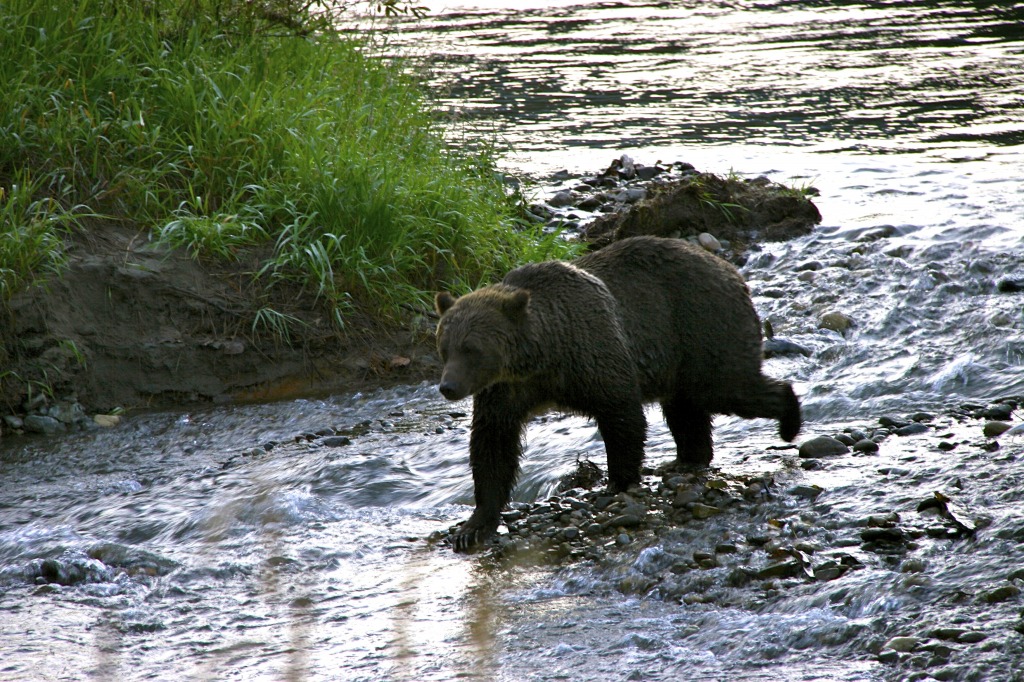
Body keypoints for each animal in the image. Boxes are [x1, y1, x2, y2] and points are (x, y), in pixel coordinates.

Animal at [434, 233, 798, 548]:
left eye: (471, 348)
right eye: (444, 347)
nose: (448, 387)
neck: (543, 355)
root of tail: (730, 268)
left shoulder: (593, 352)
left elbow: (622, 416)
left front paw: (618, 482)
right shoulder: (506, 390)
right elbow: (492, 443)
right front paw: (474, 525)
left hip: (701, 324)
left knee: (727, 388)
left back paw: (789, 418)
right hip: (680, 356)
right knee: (686, 411)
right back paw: (688, 458)